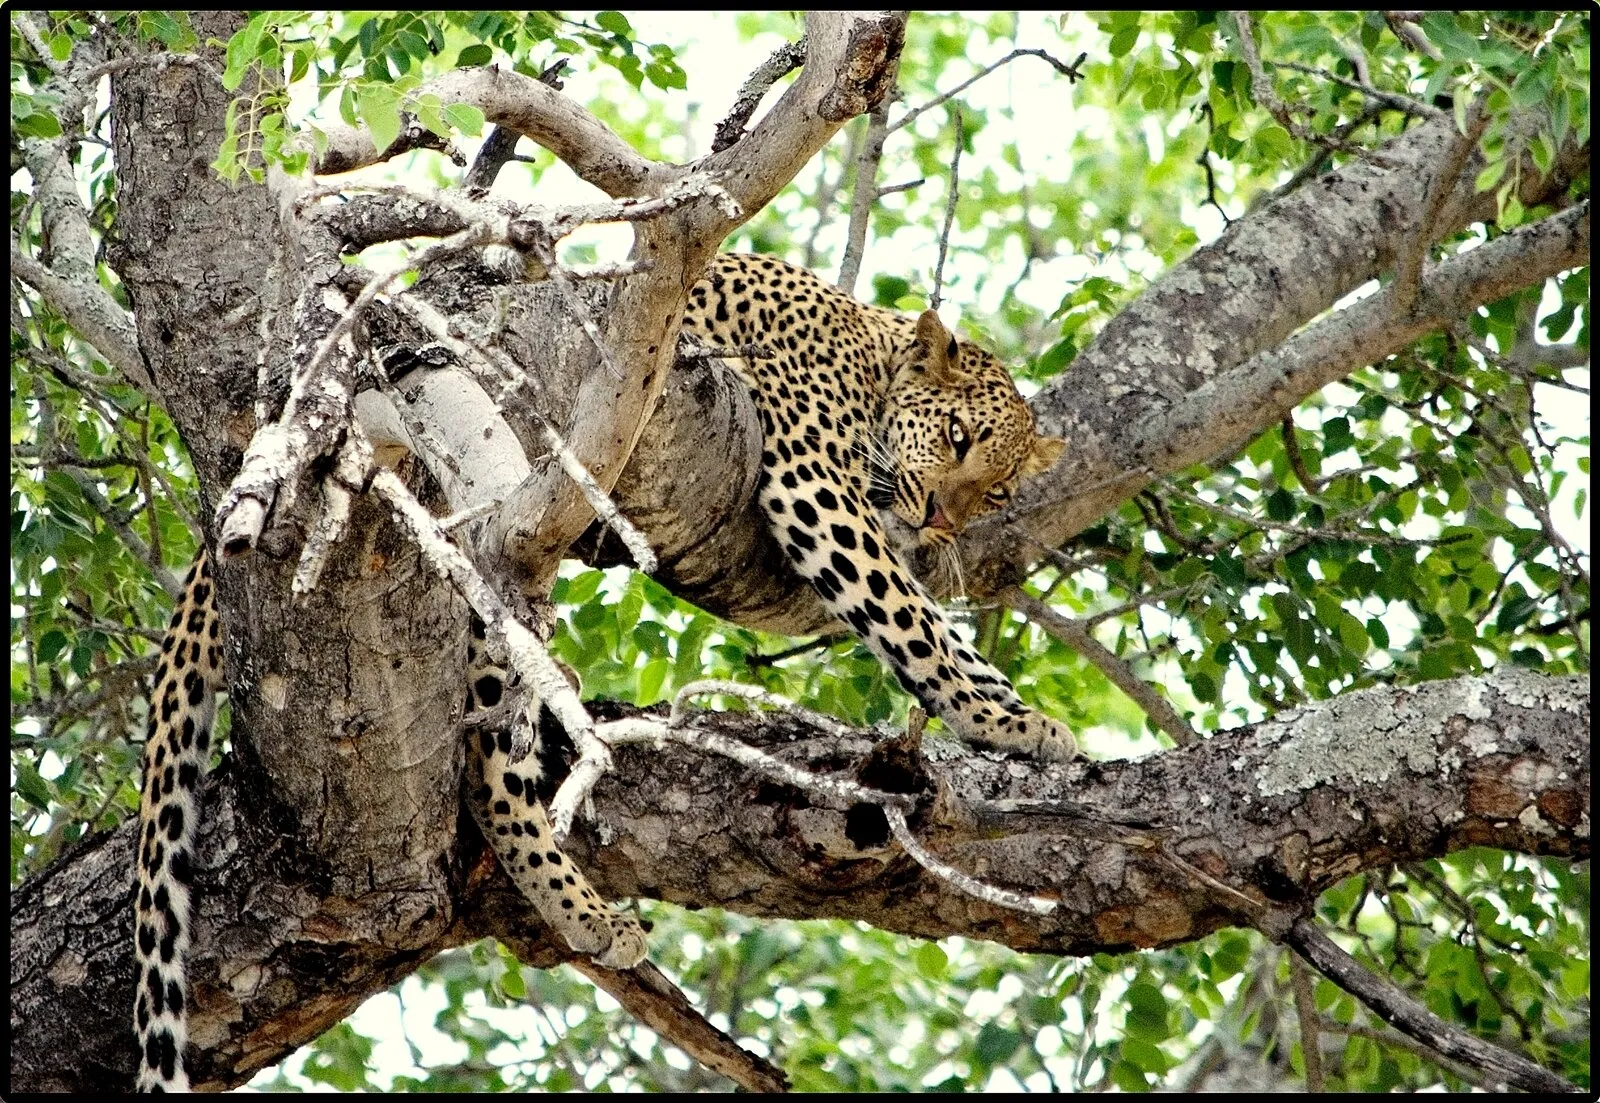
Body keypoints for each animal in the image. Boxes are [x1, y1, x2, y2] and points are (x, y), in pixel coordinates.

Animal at [131, 252, 1069, 1090]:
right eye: (955, 438)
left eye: (995, 490)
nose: (944, 518)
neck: (869, 352)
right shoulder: (816, 485)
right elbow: (911, 618)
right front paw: (1006, 718)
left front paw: (1017, 714)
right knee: (487, 766)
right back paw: (581, 908)